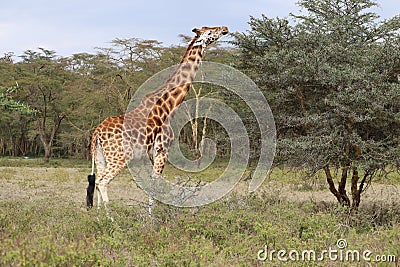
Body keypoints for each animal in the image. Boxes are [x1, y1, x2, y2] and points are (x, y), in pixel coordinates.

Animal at [86, 26, 230, 217]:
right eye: (210, 31)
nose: (225, 28)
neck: (169, 106)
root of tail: (97, 134)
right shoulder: (162, 149)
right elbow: (155, 183)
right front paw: (152, 218)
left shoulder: (152, 153)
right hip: (119, 157)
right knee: (102, 182)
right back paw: (111, 219)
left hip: (100, 157)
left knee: (97, 182)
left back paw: (98, 217)